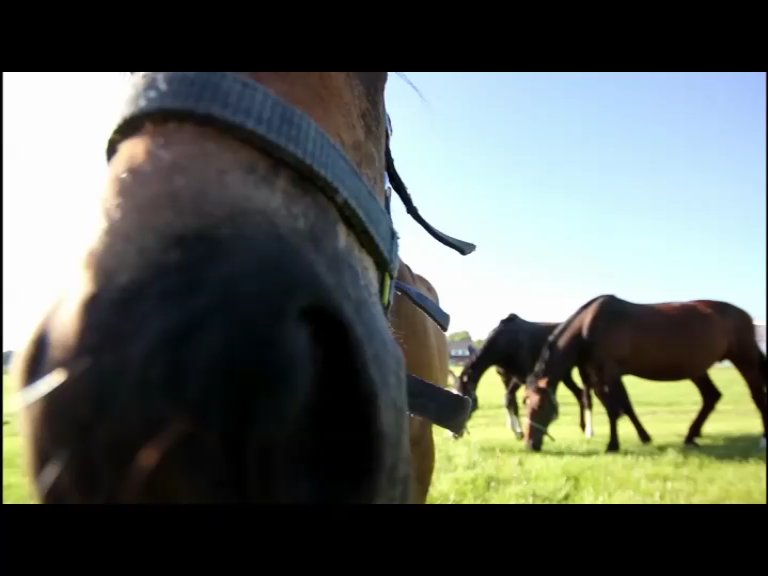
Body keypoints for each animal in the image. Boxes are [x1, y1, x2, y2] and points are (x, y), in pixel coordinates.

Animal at [524, 294, 764, 452]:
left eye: (540, 406)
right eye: (526, 404)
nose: (529, 444)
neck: (588, 327)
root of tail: (744, 314)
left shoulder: (609, 373)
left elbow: (615, 409)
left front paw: (613, 444)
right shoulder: (600, 376)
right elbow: (624, 407)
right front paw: (644, 437)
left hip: (745, 358)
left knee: (757, 396)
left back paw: (763, 439)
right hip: (697, 369)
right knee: (711, 396)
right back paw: (690, 436)